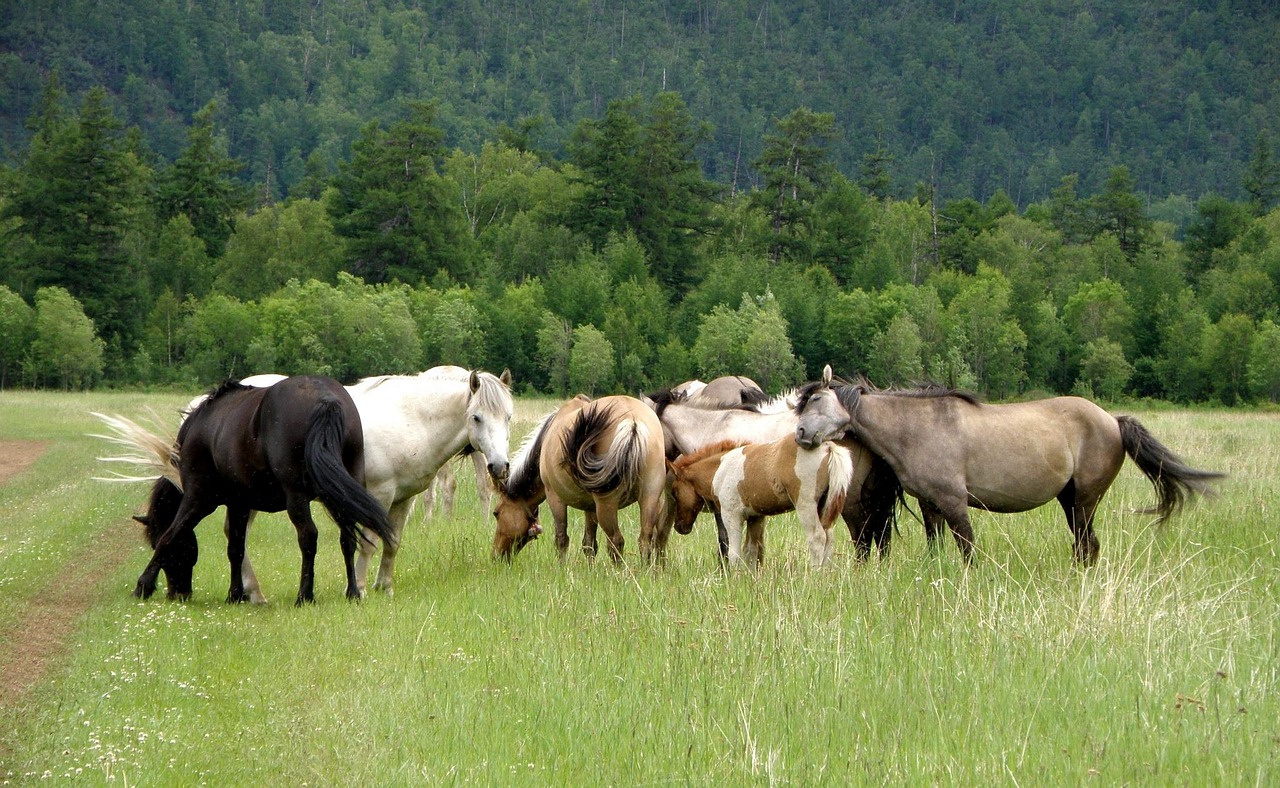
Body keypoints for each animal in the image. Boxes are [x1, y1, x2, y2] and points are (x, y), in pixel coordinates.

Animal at [131, 376, 394, 605]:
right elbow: (236, 548)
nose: (179, 593)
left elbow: (171, 535)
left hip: (296, 496)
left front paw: (143, 585)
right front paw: (235, 595)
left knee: (308, 536)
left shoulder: (198, 498)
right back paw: (352, 593)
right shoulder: (239, 503)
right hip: (341, 491)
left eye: (152, 542)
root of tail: (325, 398)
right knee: (347, 537)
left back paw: (304, 596)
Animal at [492, 395, 672, 563]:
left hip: (607, 504)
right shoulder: (590, 506)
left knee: (616, 542)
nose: (496, 555)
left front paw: (562, 568)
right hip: (650, 496)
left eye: (496, 513)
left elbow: (561, 539)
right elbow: (589, 544)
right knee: (645, 539)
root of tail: (632, 421)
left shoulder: (555, 498)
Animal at [669, 436, 853, 569]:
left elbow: (734, 554)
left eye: (675, 491)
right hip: (824, 506)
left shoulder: (731, 515)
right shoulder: (755, 517)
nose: (679, 527)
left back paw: (814, 576)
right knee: (829, 538)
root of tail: (827, 447)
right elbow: (751, 552)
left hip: (805, 505)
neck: (719, 469)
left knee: (817, 538)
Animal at [793, 365, 1225, 565]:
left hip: (1085, 500)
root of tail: (1112, 421)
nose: (800, 434)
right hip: (1070, 500)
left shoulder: (954, 502)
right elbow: (936, 547)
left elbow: (967, 548)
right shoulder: (930, 504)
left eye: (816, 400)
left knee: (1088, 545)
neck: (919, 427)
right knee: (1084, 545)